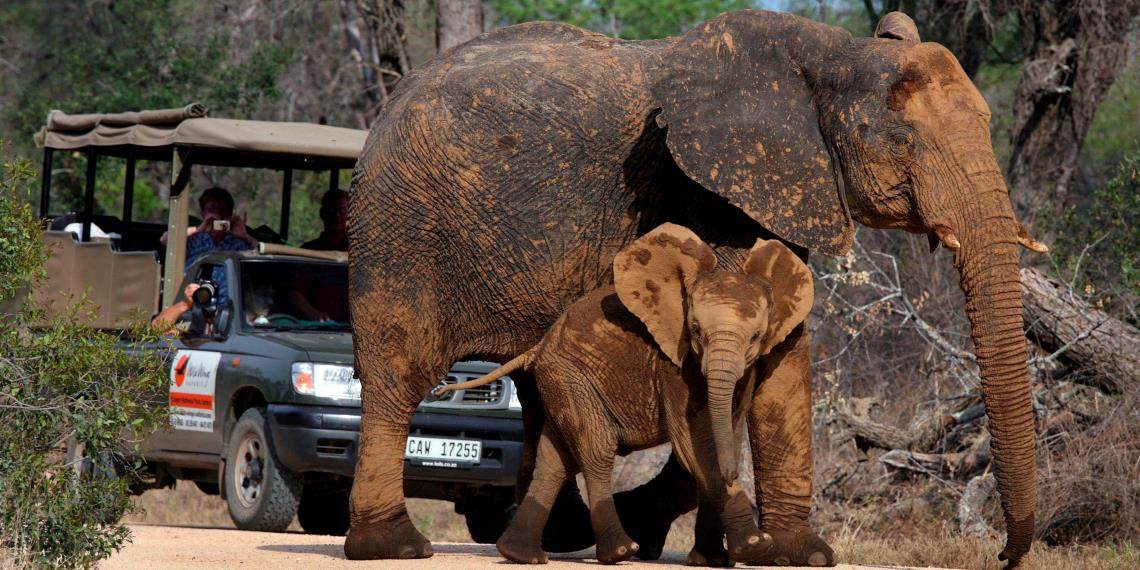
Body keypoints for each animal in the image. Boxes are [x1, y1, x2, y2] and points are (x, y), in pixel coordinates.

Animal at [430, 223, 816, 565]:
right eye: (694, 331)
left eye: (756, 337)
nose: (737, 477)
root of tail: (538, 347)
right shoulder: (672, 366)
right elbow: (697, 443)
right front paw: (754, 545)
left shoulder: (747, 369)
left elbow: (726, 436)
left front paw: (715, 560)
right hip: (571, 377)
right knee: (596, 450)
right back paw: (619, 551)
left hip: (559, 381)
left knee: (556, 458)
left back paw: (521, 555)